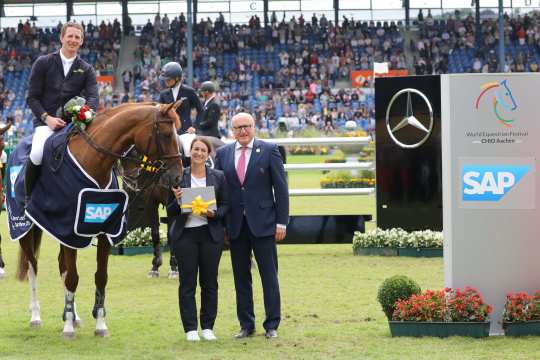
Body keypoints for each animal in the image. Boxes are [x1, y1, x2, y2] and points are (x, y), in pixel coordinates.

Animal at [14, 101, 184, 338]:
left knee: (62, 268)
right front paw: (68, 329)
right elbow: (73, 277)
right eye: (167, 135)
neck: (93, 161)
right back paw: (36, 316)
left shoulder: (102, 230)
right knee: (33, 267)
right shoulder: (70, 228)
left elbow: (99, 276)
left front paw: (99, 324)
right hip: (26, 229)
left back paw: (73, 315)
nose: (178, 176)